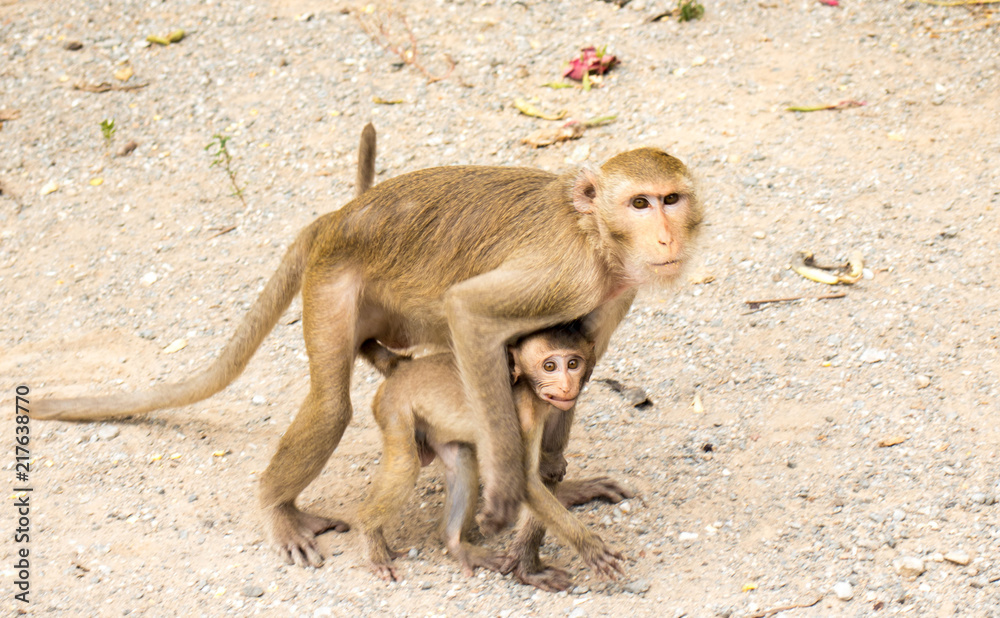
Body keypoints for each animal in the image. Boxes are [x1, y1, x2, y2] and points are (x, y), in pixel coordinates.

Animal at [355, 324, 623, 584]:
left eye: (573, 364)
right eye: (550, 366)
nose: (566, 386)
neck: (529, 389)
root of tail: (401, 369)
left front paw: (556, 470)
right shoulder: (524, 417)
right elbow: (525, 481)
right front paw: (588, 546)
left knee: (461, 460)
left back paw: (456, 543)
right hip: (393, 407)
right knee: (405, 464)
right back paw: (371, 534)